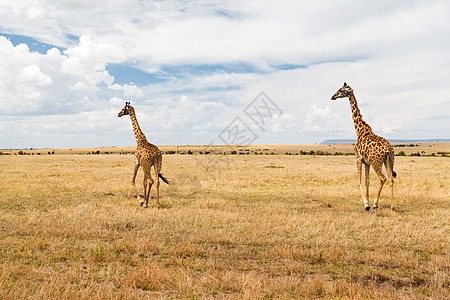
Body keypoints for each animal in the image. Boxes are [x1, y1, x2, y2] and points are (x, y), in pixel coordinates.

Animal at [330, 82, 398, 211]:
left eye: (341, 90)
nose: (332, 97)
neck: (359, 130)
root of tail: (388, 149)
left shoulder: (358, 158)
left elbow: (359, 180)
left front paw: (367, 204)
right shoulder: (366, 162)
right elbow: (367, 181)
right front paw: (368, 201)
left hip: (376, 162)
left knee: (383, 178)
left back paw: (376, 204)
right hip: (389, 161)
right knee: (391, 179)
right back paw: (392, 206)